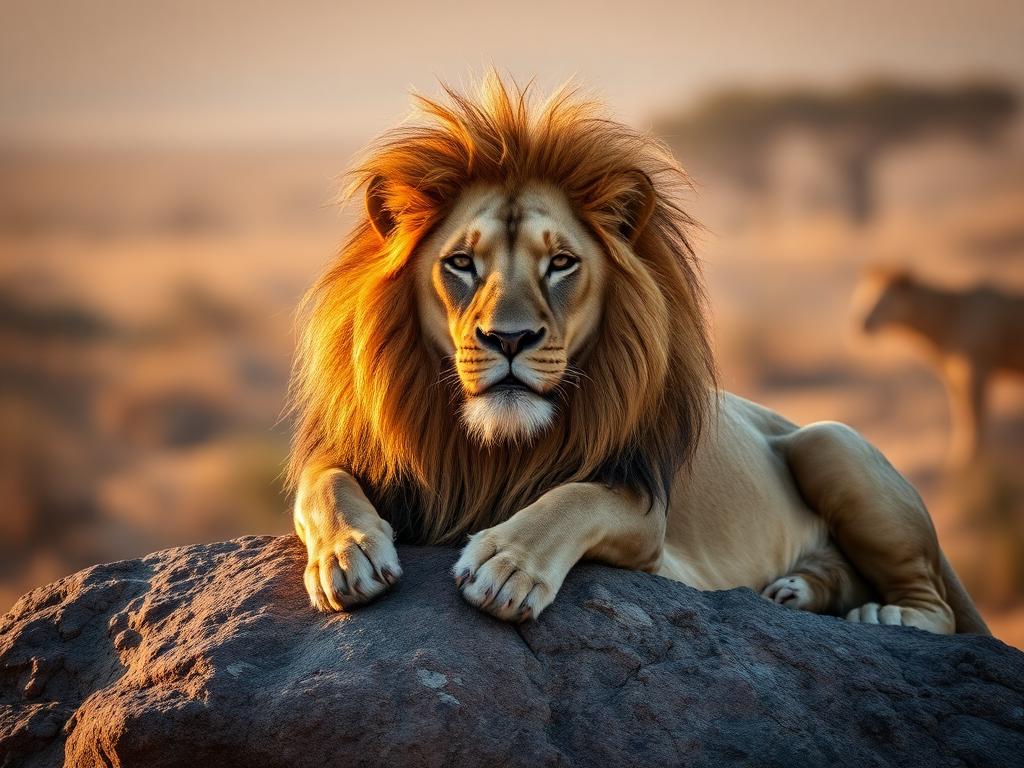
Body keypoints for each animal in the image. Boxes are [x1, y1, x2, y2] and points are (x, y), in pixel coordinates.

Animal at [287, 74, 989, 636]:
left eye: (561, 263)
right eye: (461, 263)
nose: (510, 340)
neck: (494, 449)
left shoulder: (646, 511)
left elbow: (573, 498)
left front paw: (507, 565)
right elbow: (321, 483)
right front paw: (347, 554)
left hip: (830, 439)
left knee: (937, 608)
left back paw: (884, 615)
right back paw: (796, 590)